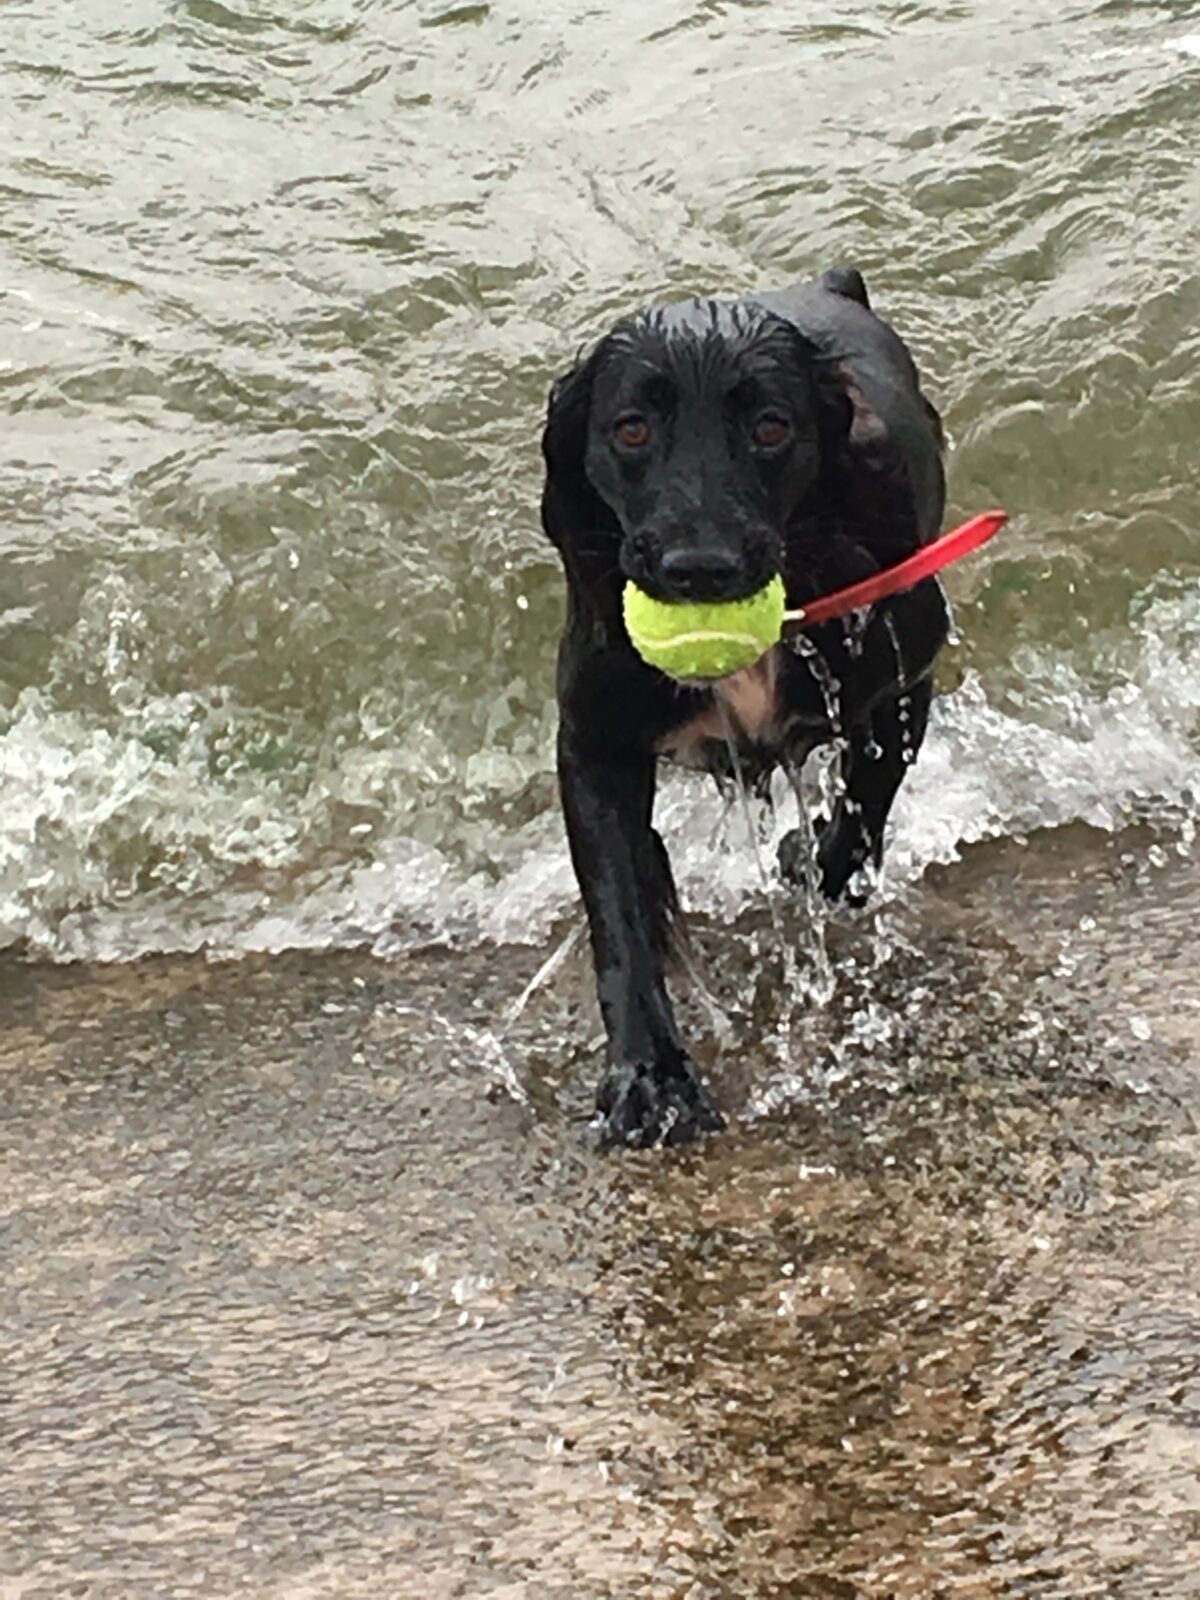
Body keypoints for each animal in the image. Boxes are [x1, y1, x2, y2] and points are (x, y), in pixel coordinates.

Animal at [544, 272, 947, 1152]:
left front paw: (815, 864)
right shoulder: (593, 740)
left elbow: (861, 812)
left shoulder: (904, 677)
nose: (701, 569)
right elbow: (621, 915)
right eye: (631, 429)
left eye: (771, 426)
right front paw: (651, 1078)